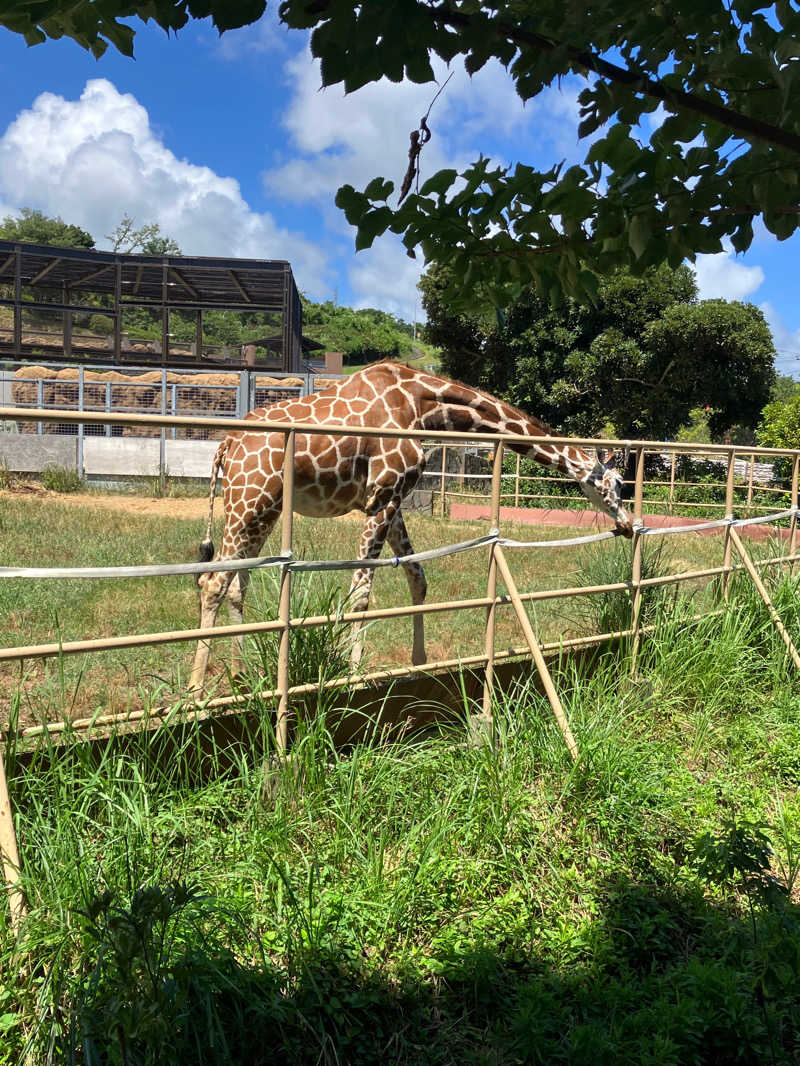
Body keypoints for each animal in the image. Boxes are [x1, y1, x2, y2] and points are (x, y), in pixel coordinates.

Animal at [187, 360, 631, 690]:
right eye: (617, 484)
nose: (628, 524)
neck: (424, 405)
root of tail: (227, 444)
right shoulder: (382, 496)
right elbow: (361, 594)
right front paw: (352, 679)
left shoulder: (395, 499)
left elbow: (417, 577)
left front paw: (418, 665)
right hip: (250, 498)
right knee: (213, 582)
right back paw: (195, 693)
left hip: (265, 507)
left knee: (236, 585)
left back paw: (245, 676)